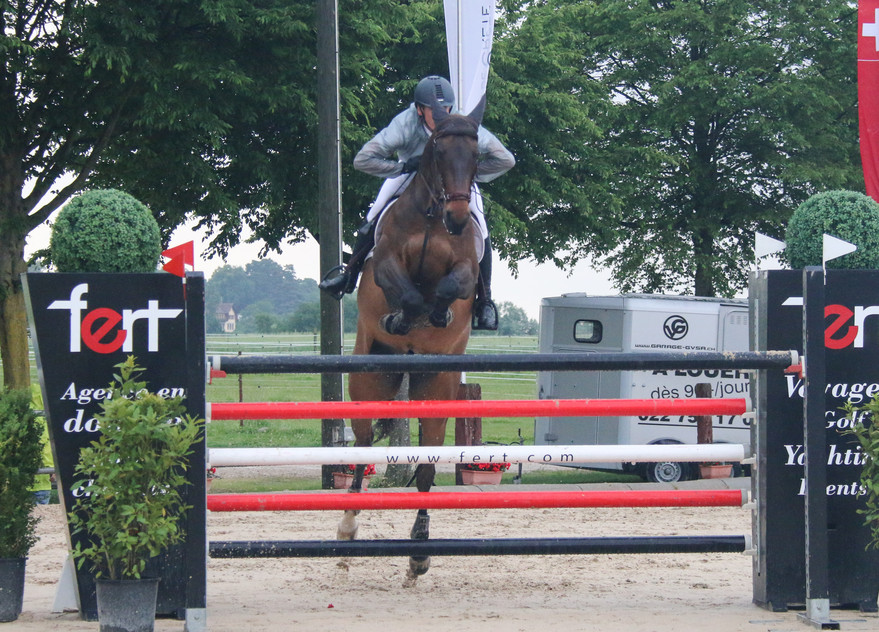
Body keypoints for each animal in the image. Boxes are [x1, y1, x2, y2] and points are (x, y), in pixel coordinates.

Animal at [336, 96, 486, 580]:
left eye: (477, 157)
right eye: (437, 151)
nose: (457, 217)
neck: (431, 215)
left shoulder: (465, 267)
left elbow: (452, 285)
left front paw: (437, 312)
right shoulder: (385, 262)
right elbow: (402, 288)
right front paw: (404, 315)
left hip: (436, 387)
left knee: (425, 467)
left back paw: (419, 551)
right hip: (368, 381)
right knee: (363, 450)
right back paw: (347, 530)